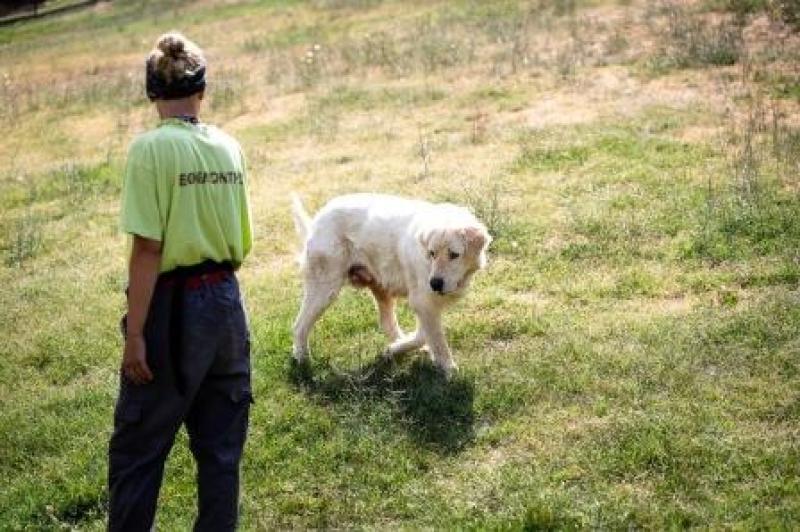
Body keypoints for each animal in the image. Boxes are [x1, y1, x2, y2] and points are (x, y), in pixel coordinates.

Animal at [290, 193, 490, 376]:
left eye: (454, 255)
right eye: (432, 253)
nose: (435, 284)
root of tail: (319, 218)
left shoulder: (426, 305)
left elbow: (424, 335)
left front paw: (395, 349)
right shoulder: (422, 302)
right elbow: (435, 338)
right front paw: (448, 369)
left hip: (380, 287)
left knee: (386, 322)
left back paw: (398, 343)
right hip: (324, 290)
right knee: (299, 326)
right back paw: (303, 361)